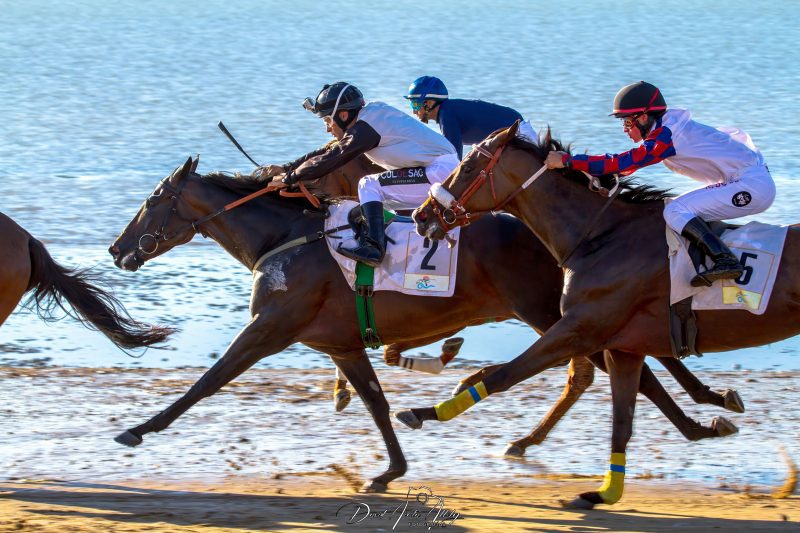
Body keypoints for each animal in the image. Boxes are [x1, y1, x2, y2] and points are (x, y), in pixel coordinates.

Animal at [107, 155, 745, 494]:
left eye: (152, 200)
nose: (117, 249)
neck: (285, 237)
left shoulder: (269, 329)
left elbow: (207, 381)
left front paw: (138, 428)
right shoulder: (341, 344)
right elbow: (374, 400)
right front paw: (391, 468)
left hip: (555, 310)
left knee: (620, 370)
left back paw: (699, 419)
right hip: (567, 314)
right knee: (609, 369)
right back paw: (702, 412)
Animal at [408, 120, 800, 507]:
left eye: (467, 167)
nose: (421, 214)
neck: (600, 237)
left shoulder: (578, 328)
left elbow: (506, 375)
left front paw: (426, 412)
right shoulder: (621, 347)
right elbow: (623, 419)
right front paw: (606, 492)